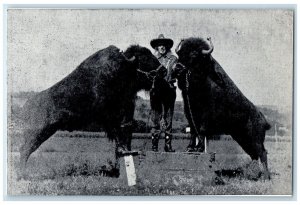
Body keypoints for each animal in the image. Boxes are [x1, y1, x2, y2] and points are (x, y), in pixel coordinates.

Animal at [19, 44, 163, 167]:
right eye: (144, 58)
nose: (164, 71)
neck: (123, 68)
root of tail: (26, 106)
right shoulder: (111, 118)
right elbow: (119, 135)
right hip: (37, 132)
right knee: (25, 150)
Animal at [175, 37, 270, 179]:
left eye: (194, 55)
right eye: (179, 54)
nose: (177, 67)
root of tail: (264, 120)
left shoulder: (205, 116)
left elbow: (201, 131)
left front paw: (199, 148)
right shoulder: (190, 113)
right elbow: (193, 131)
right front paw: (190, 148)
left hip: (255, 139)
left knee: (262, 153)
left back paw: (266, 177)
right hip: (243, 139)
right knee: (254, 155)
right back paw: (253, 174)